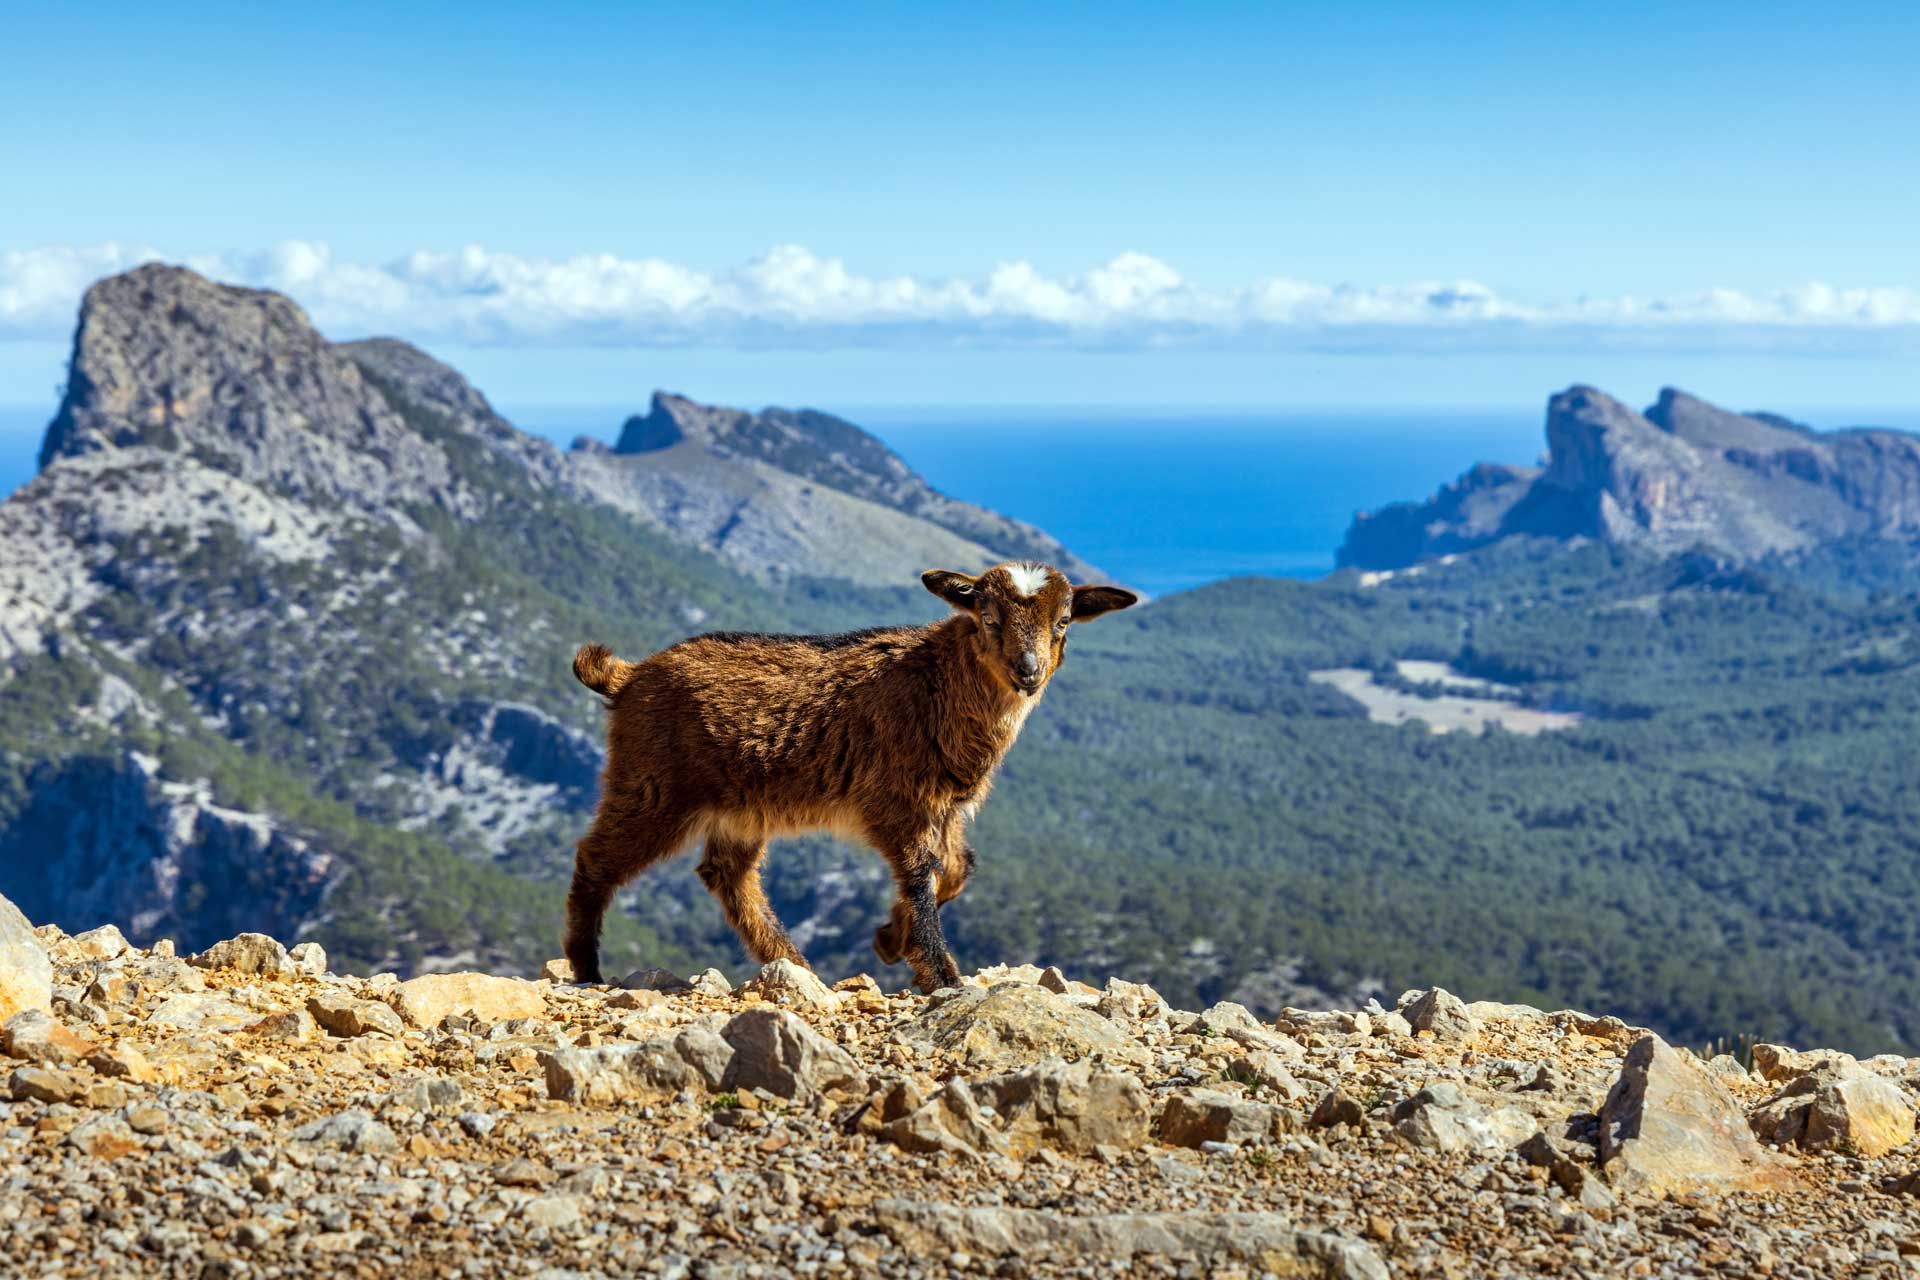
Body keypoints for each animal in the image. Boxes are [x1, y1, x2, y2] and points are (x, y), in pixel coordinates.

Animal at [564, 560, 1138, 992]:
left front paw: (888, 938)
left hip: (742, 807)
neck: (938, 683)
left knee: (726, 873)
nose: (1027, 670)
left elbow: (957, 869)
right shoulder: (896, 801)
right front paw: (942, 975)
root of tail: (626, 677)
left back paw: (795, 964)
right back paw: (586, 967)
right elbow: (921, 875)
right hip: (654, 786)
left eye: (1064, 620)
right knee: (596, 859)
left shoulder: (944, 807)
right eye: (988, 616)